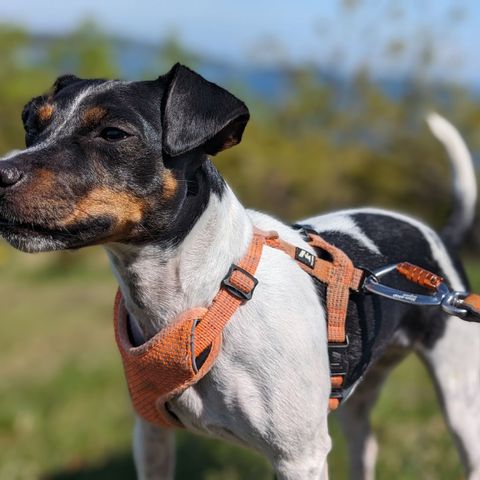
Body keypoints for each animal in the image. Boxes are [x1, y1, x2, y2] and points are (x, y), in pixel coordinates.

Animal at [0, 64, 478, 480]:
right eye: (31, 122)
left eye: (113, 133)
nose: (0, 172)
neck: (207, 296)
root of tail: (439, 237)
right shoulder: (152, 436)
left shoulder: (299, 457)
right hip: (359, 397)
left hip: (461, 404)